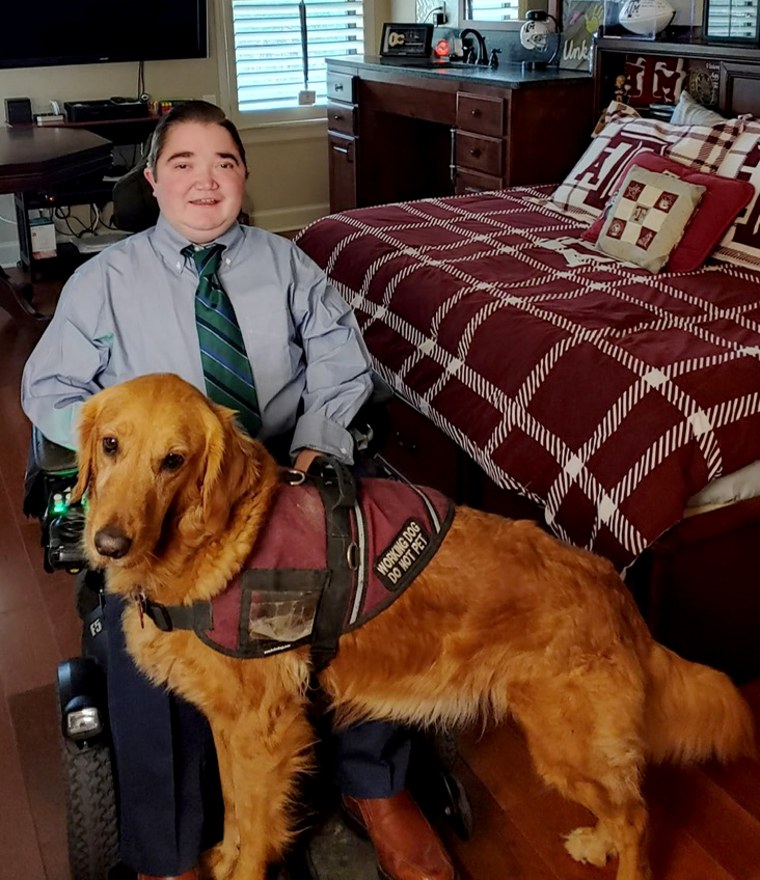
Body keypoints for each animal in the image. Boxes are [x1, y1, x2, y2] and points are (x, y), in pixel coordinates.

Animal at [72, 372, 756, 880]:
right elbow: (235, 811)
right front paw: (221, 855)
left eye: (174, 461)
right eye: (110, 445)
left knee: (638, 814)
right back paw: (597, 842)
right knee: (626, 807)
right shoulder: (228, 724)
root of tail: (614, 586)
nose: (108, 543)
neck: (204, 547)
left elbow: (257, 825)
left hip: (569, 744)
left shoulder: (264, 733)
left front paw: (241, 867)